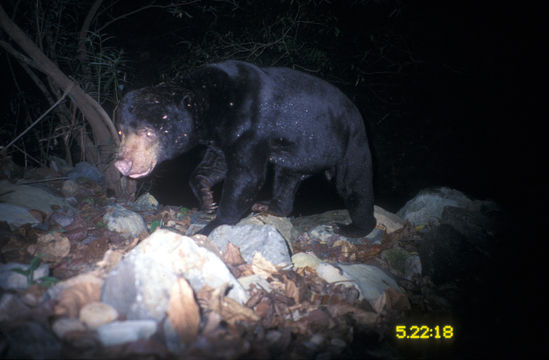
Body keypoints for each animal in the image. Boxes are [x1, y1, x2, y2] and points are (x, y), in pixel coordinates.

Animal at [113, 60, 374, 238]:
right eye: (121, 132)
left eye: (148, 132)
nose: (123, 163)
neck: (215, 104)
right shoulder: (222, 136)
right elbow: (214, 165)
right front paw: (206, 198)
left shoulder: (252, 125)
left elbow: (245, 177)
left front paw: (212, 225)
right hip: (298, 154)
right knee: (287, 178)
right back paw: (270, 205)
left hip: (351, 142)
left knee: (355, 184)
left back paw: (352, 227)